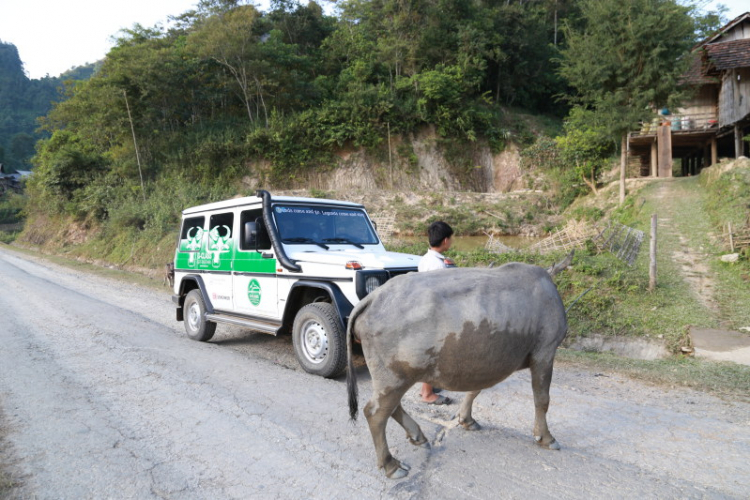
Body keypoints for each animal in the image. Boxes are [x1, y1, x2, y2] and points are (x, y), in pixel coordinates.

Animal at [346, 260, 568, 478]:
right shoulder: (545, 353)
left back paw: (417, 435)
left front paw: (467, 419)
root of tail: (374, 297)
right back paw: (391, 464)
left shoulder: (486, 362)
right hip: (395, 377)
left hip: (394, 378)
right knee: (375, 413)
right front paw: (546, 437)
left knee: (391, 407)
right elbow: (542, 400)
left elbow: (475, 390)